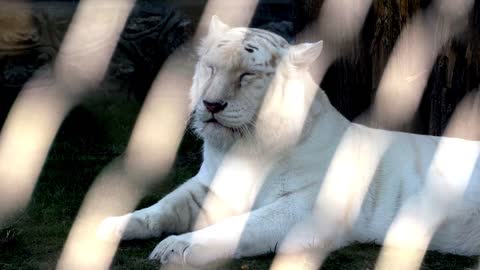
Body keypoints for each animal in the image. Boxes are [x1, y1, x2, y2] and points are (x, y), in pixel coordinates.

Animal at [97, 16, 480, 266]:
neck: (243, 148)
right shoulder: (209, 184)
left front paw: (175, 247)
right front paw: (108, 225)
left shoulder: (304, 207)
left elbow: (239, 227)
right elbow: (162, 207)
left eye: (247, 75)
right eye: (211, 67)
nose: (211, 104)